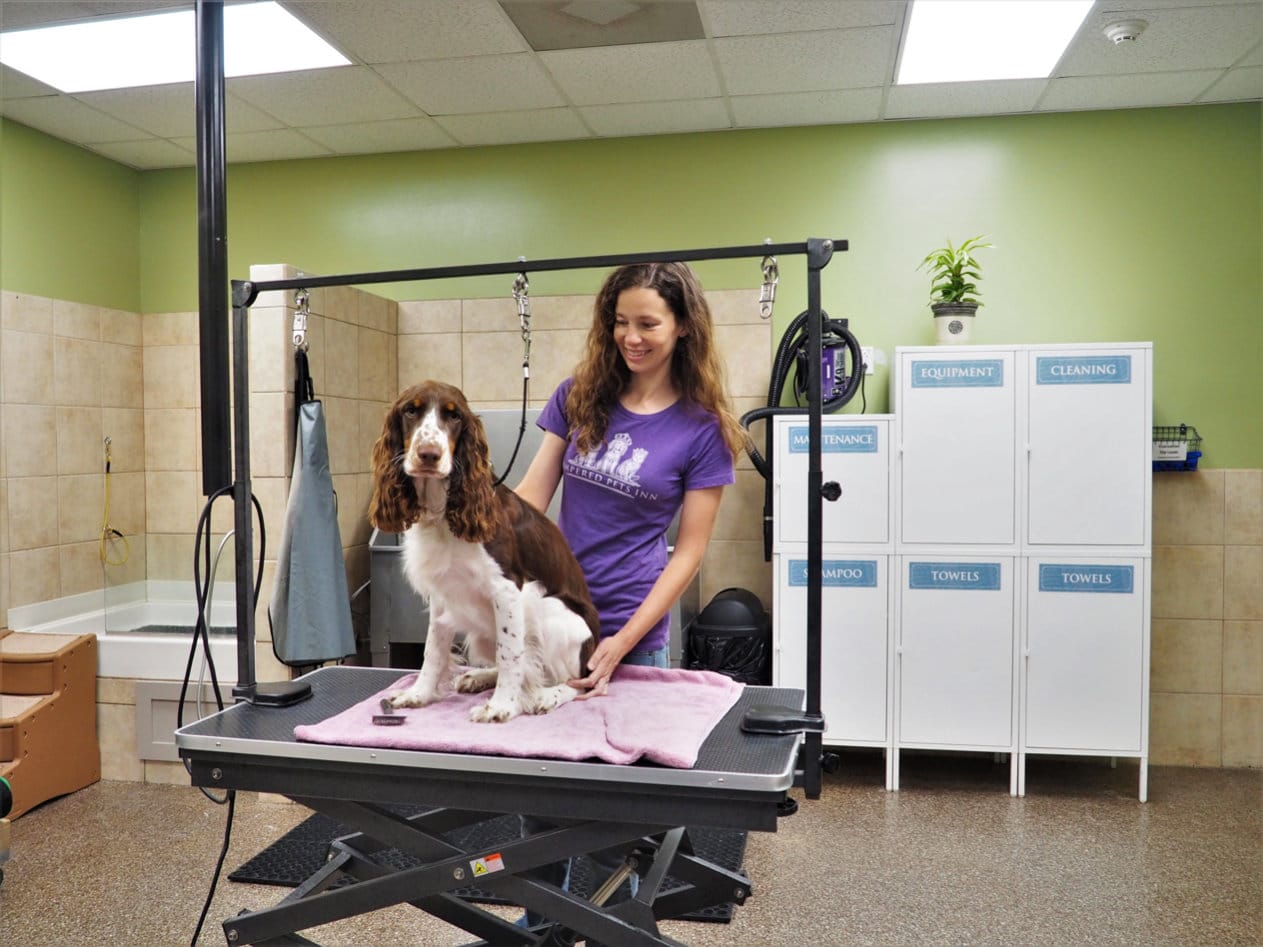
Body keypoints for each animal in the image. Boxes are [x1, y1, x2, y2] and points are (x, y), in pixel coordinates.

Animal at [368, 381, 598, 722]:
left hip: (551, 610)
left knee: (578, 682)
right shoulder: (442, 592)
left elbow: (510, 654)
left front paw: (501, 706)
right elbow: (433, 650)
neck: (443, 513)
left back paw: (544, 696)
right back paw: (479, 677)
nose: (429, 455)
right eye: (411, 410)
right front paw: (419, 694)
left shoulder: (508, 589)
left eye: (454, 416)